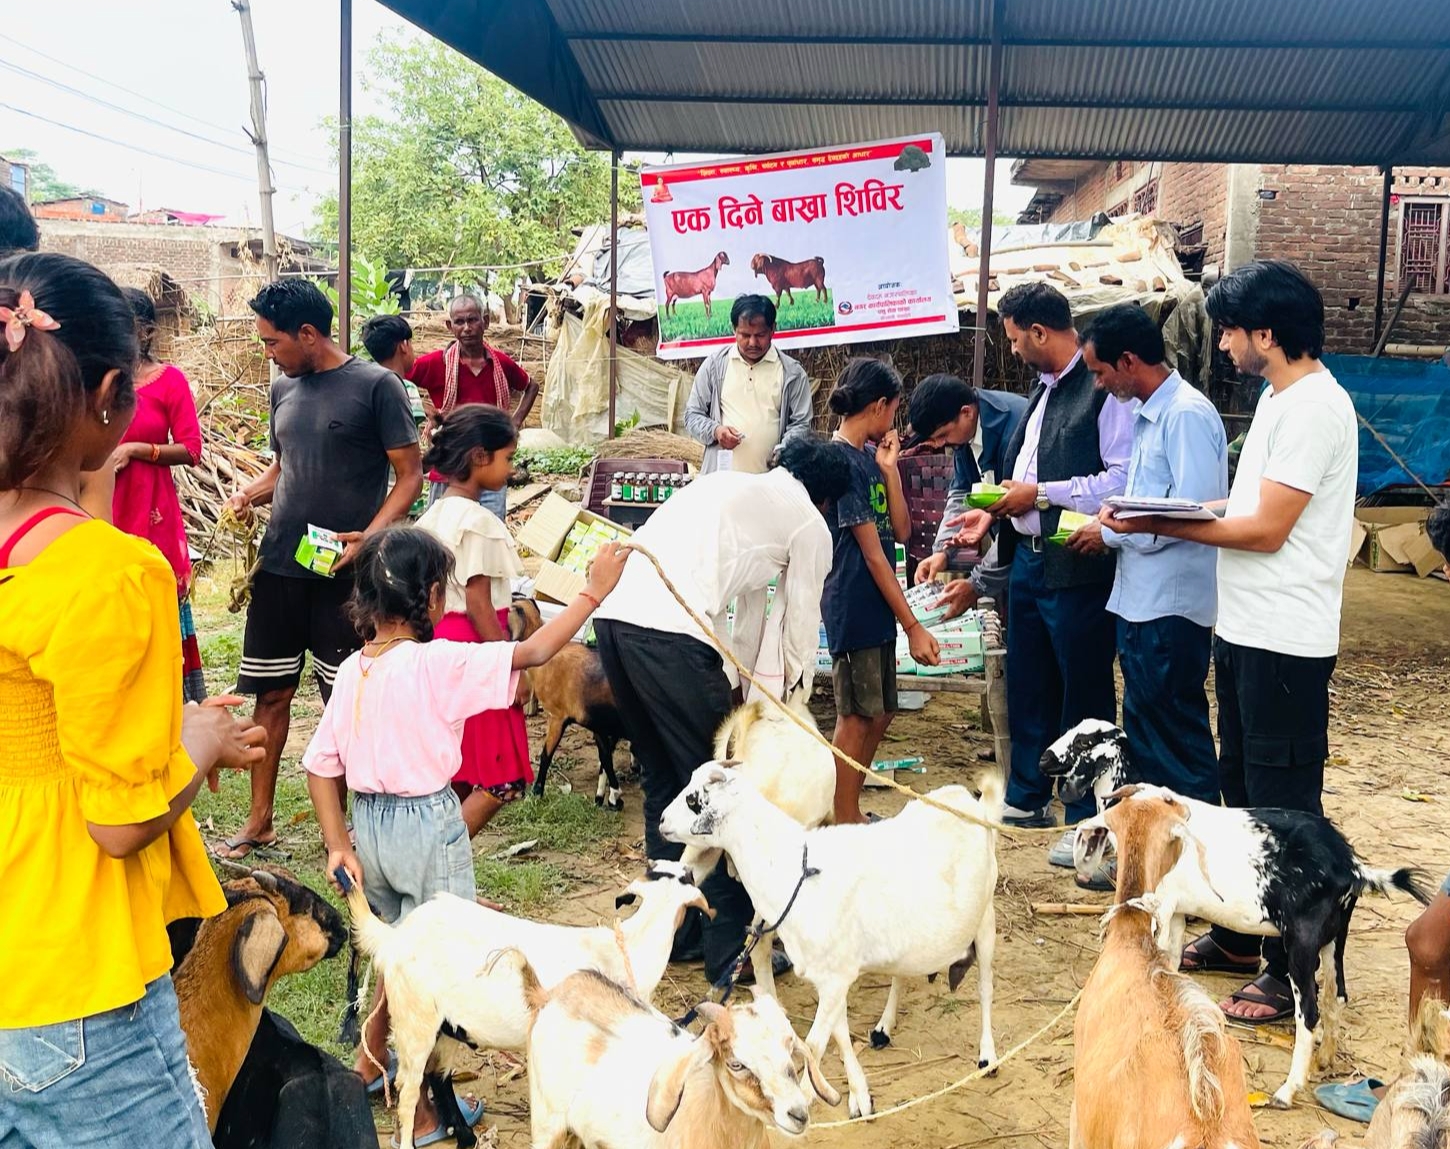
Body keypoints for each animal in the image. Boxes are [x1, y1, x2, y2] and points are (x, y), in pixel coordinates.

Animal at [336, 861, 712, 1149]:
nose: (692, 868)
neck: (628, 948)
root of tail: (394, 937)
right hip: (415, 1017)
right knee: (409, 1092)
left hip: (448, 1024)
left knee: (438, 1077)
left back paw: (467, 1137)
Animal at [508, 598, 626, 810]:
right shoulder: (598, 725)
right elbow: (605, 759)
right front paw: (609, 798)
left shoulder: (557, 717)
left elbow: (546, 755)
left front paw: (536, 793)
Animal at [660, 761, 1003, 1118]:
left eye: (693, 799)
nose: (661, 822)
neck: (793, 869)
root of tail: (969, 801)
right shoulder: (831, 976)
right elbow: (839, 1032)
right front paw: (860, 1096)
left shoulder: (836, 977)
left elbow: (814, 1043)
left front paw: (808, 1095)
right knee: (901, 974)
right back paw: (884, 1027)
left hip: (986, 919)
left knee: (985, 988)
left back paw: (988, 1057)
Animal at [1074, 784, 1433, 1108]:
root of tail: (1350, 867)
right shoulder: (1175, 912)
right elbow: (1170, 962)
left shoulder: (1162, 906)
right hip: (1335, 936)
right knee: (1338, 995)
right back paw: (1325, 1060)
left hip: (1301, 941)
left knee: (1309, 1012)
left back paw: (1287, 1091)